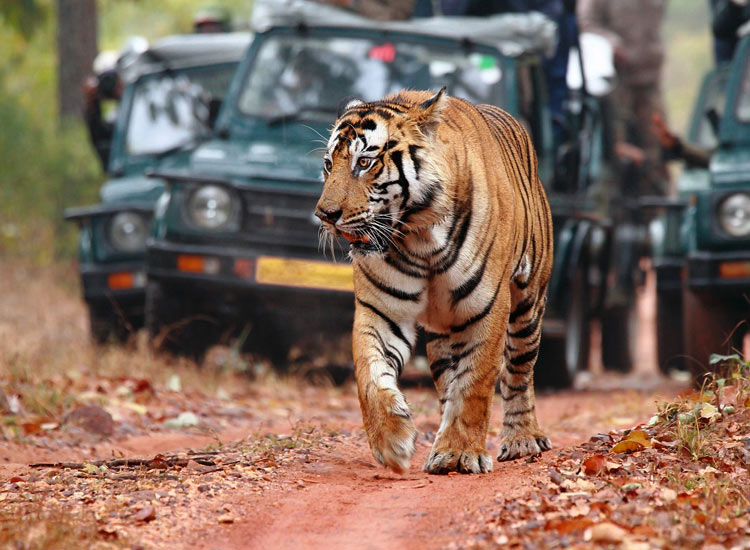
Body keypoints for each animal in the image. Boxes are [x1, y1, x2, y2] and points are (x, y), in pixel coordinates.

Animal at [314, 88, 556, 476]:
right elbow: (369, 375)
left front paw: (460, 453)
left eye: (364, 163)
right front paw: (392, 442)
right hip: (444, 333)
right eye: (327, 164)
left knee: (518, 372)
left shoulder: (486, 307)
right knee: (448, 381)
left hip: (528, 304)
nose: (324, 215)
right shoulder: (381, 310)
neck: (419, 237)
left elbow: (475, 383)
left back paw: (523, 439)